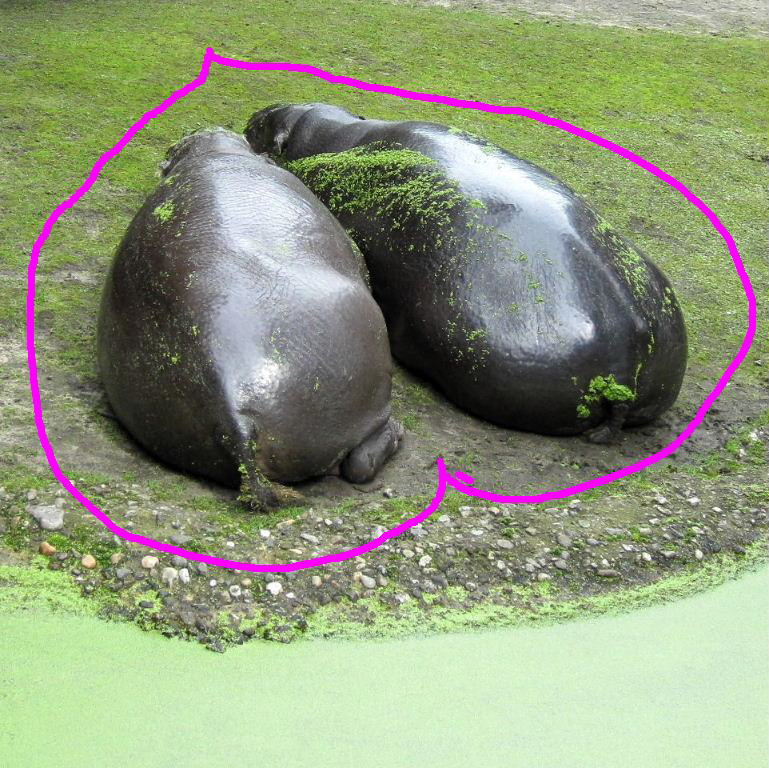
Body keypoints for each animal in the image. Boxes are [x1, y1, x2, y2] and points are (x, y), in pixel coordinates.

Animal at [97, 129, 403, 509]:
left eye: (176, 148)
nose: (206, 128)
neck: (215, 153)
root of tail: (237, 418)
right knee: (361, 459)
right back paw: (398, 433)